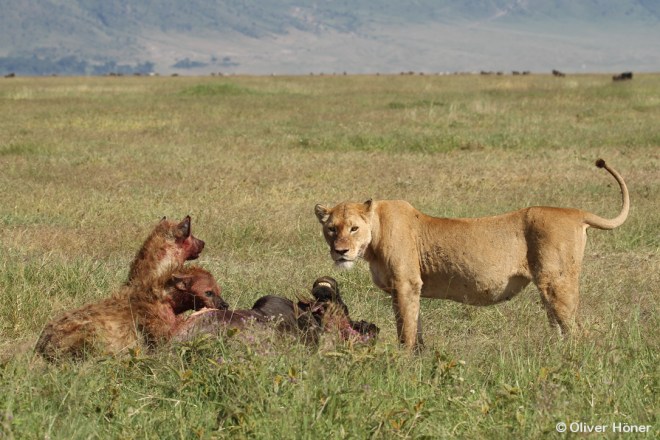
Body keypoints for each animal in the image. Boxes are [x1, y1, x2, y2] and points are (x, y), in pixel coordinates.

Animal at [314, 159, 629, 349]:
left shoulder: (406, 284)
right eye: (331, 229)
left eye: (354, 228)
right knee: (561, 327)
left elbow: (406, 330)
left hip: (557, 282)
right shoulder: (408, 288)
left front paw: (403, 364)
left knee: (577, 331)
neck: (374, 236)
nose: (340, 251)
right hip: (549, 288)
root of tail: (575, 212)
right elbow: (416, 326)